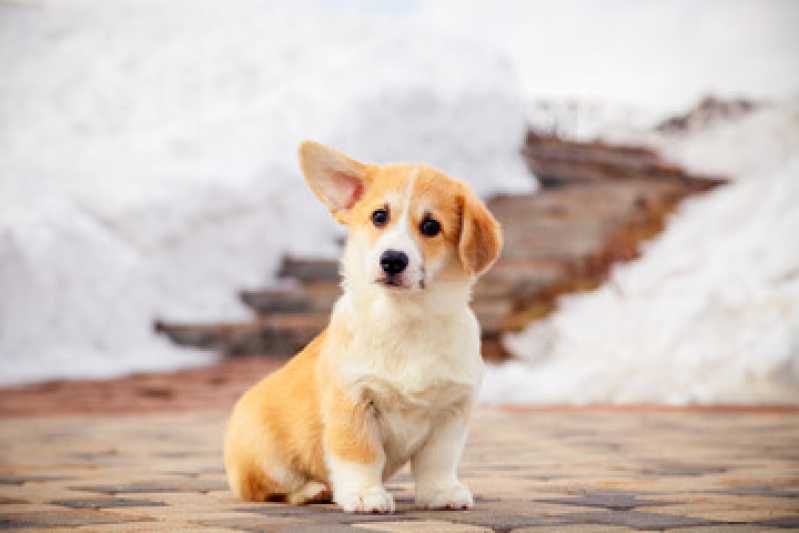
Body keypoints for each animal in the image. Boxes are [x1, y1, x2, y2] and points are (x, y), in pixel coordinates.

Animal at [222, 140, 504, 512]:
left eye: (431, 226)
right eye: (379, 217)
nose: (392, 260)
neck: (404, 317)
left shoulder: (452, 410)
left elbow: (438, 460)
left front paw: (441, 493)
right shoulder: (352, 400)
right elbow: (361, 455)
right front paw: (364, 495)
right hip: (266, 457)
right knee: (265, 488)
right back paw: (311, 490)